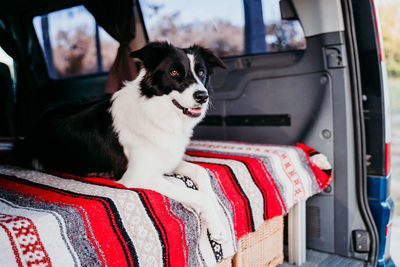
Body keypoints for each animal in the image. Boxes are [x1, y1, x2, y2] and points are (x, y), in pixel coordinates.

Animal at [26, 41, 228, 243]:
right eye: (174, 73)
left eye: (201, 72)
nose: (203, 96)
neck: (154, 112)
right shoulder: (140, 176)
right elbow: (197, 195)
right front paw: (217, 227)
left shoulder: (169, 159)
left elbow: (201, 171)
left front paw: (218, 213)